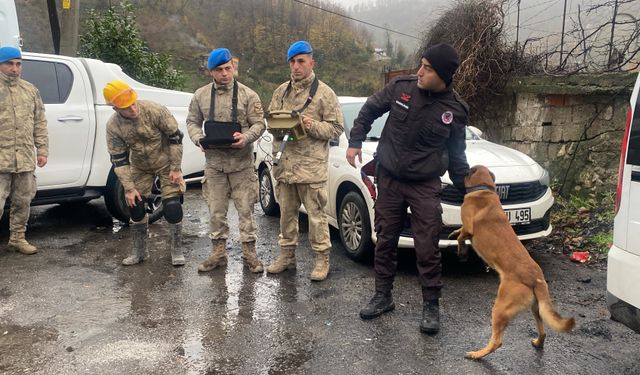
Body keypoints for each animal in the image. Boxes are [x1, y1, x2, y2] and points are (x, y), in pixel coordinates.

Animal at [450, 166, 576, 360]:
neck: (484, 190)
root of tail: (537, 279)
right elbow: (459, 232)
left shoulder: (469, 226)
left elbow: (462, 236)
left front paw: (461, 250)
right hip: (536, 309)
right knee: (543, 331)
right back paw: (538, 343)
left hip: (500, 308)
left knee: (497, 342)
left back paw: (477, 354)